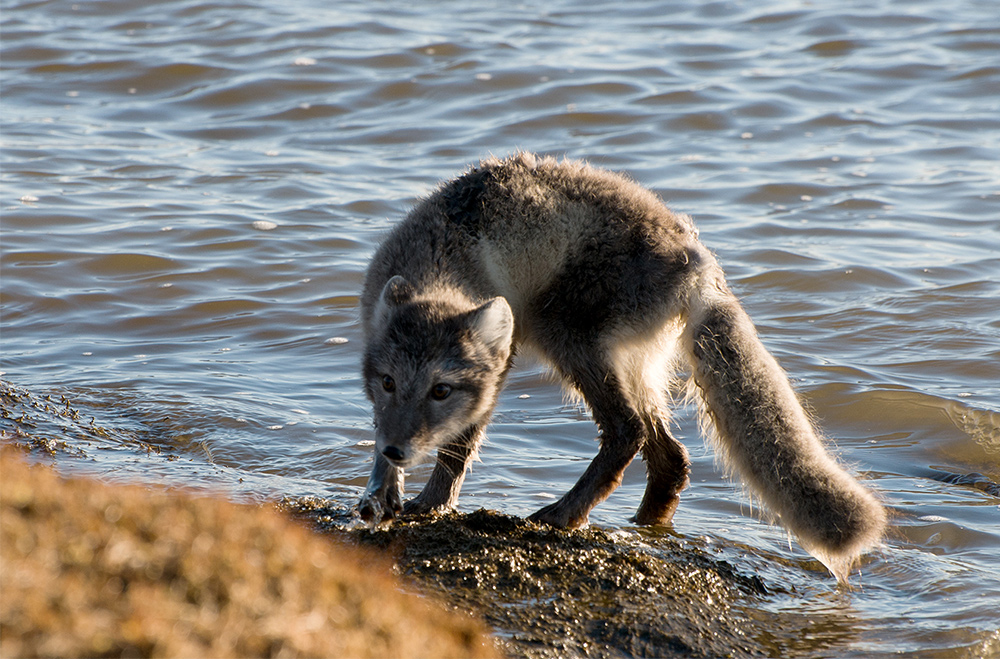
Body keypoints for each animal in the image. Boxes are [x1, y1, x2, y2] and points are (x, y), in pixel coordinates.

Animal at [356, 153, 888, 584]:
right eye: (388, 383)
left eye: (441, 391)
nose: (400, 450)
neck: (442, 258)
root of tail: (695, 255)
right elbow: (381, 436)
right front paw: (382, 492)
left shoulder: (498, 370)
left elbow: (458, 448)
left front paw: (430, 504)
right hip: (633, 366)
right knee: (671, 457)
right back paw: (642, 524)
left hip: (564, 334)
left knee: (627, 431)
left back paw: (563, 515)